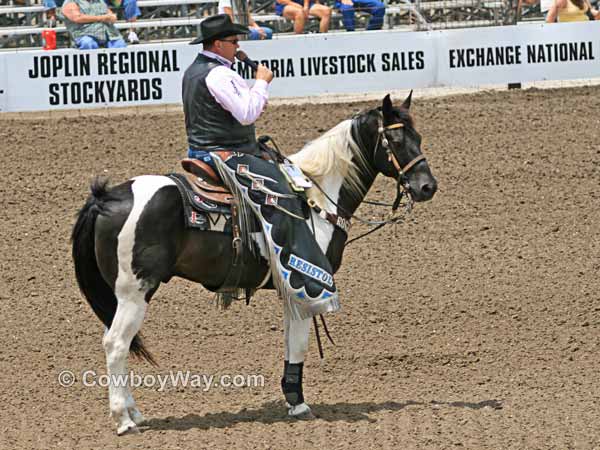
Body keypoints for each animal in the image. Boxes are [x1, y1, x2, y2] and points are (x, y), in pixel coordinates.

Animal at [72, 93, 436, 434]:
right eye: (397, 140)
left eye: (419, 137)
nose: (427, 187)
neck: (316, 198)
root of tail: (107, 198)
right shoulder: (302, 287)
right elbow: (300, 343)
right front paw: (299, 404)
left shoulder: (290, 293)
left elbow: (292, 342)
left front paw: (292, 398)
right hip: (136, 292)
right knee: (116, 344)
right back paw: (123, 420)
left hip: (119, 295)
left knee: (117, 341)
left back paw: (134, 412)